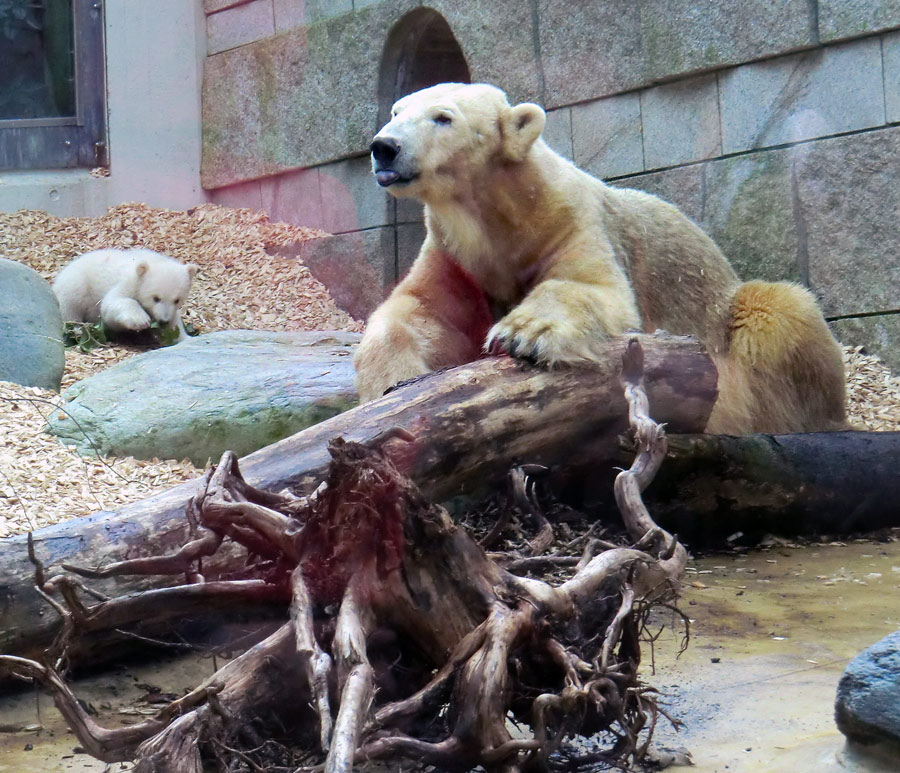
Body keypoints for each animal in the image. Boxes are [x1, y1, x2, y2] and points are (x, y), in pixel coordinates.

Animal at [356, 84, 848, 434]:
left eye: (443, 117)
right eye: (397, 111)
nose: (384, 146)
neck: (503, 217)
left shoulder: (570, 224)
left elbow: (598, 289)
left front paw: (524, 333)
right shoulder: (457, 257)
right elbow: (421, 310)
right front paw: (389, 384)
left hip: (732, 316)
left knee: (778, 310)